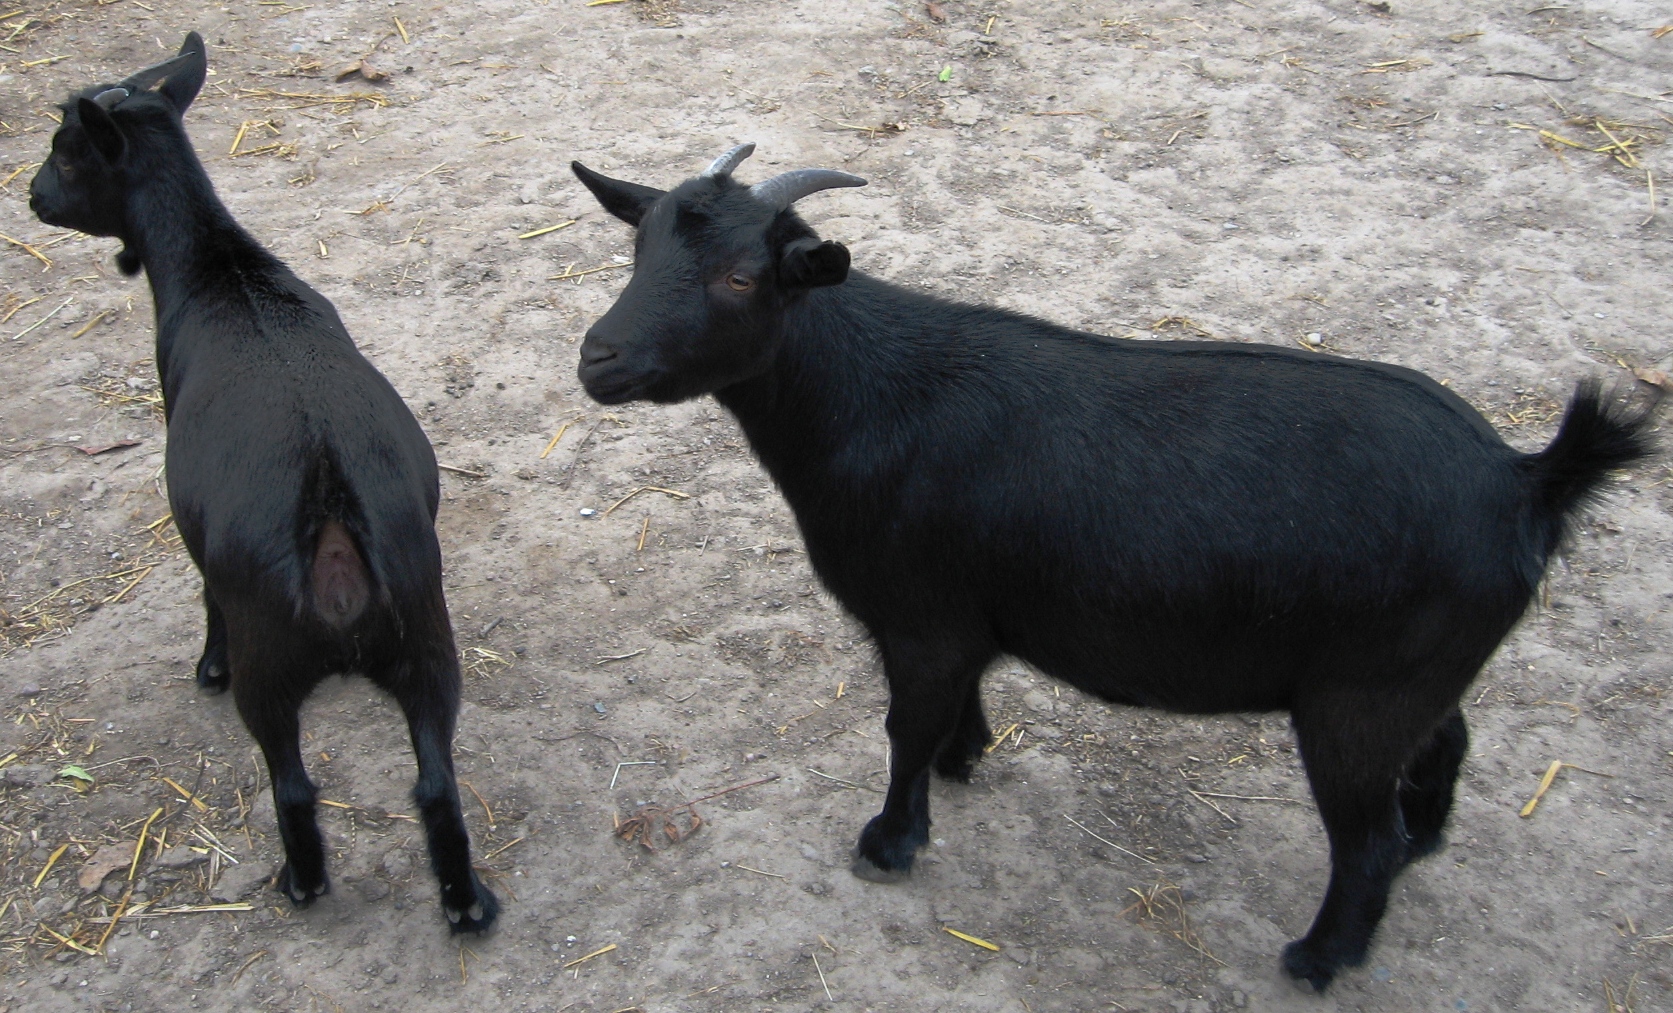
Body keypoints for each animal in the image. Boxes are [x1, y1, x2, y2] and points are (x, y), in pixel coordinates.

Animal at [30, 31, 495, 930]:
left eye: (67, 157)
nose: (33, 197)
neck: (220, 267)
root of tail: (331, 510)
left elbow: (201, 590)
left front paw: (202, 664)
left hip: (270, 665)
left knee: (292, 783)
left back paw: (303, 879)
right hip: (428, 641)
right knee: (434, 781)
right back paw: (466, 903)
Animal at [572, 143, 1659, 984]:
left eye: (742, 277)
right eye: (639, 245)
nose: (597, 359)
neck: (861, 396)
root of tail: (1526, 478)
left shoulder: (920, 619)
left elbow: (903, 726)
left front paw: (889, 841)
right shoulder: (964, 616)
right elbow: (955, 705)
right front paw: (966, 759)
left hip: (1354, 700)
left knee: (1364, 840)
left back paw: (1319, 956)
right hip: (1411, 675)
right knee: (1444, 746)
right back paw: (1424, 843)